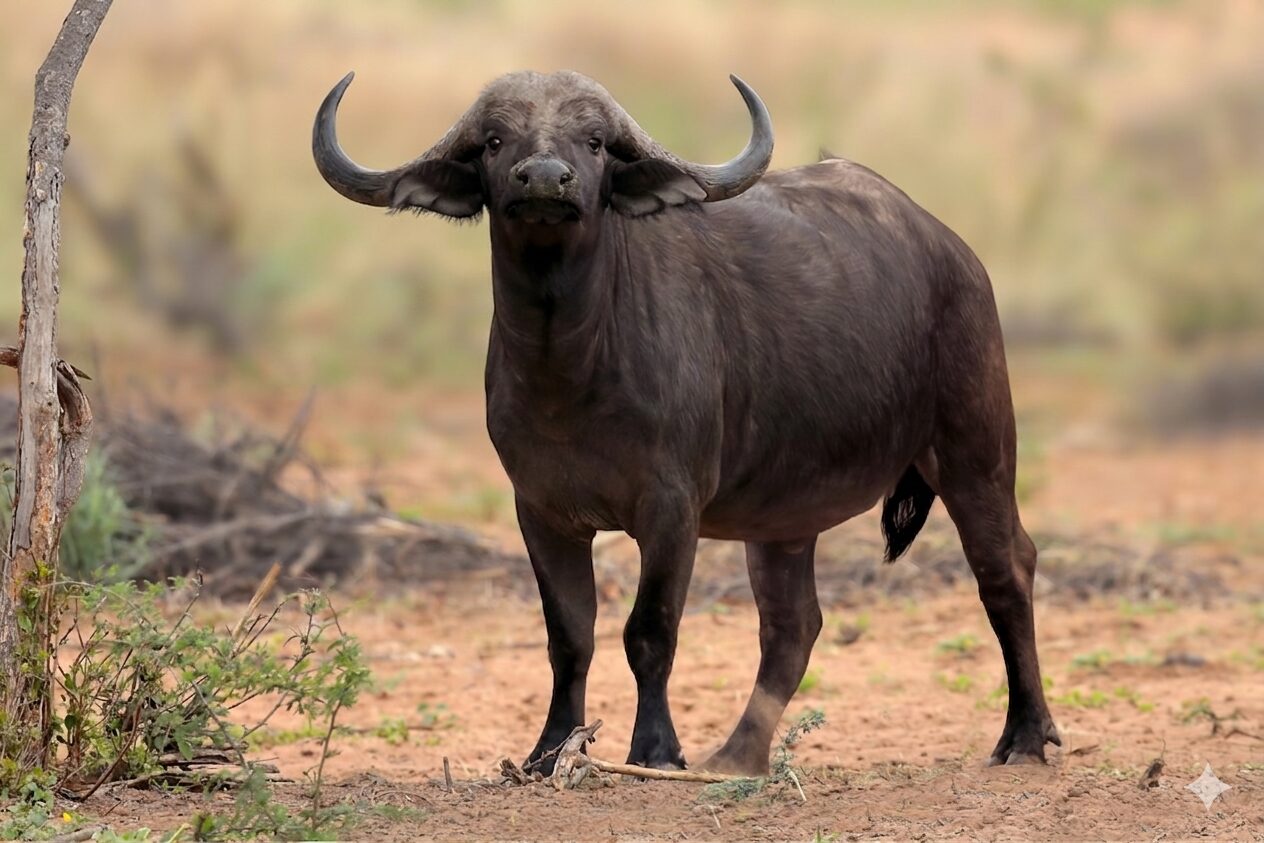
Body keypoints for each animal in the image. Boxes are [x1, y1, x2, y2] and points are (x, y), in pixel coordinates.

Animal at [313, 70, 1061, 776]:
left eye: (594, 142)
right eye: (495, 141)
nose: (546, 179)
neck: (573, 367)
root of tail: (952, 251)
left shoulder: (672, 507)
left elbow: (650, 631)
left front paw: (655, 749)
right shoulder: (542, 510)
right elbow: (569, 636)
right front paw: (549, 750)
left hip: (975, 448)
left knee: (1006, 567)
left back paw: (1025, 736)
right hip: (785, 516)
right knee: (793, 624)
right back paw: (738, 755)